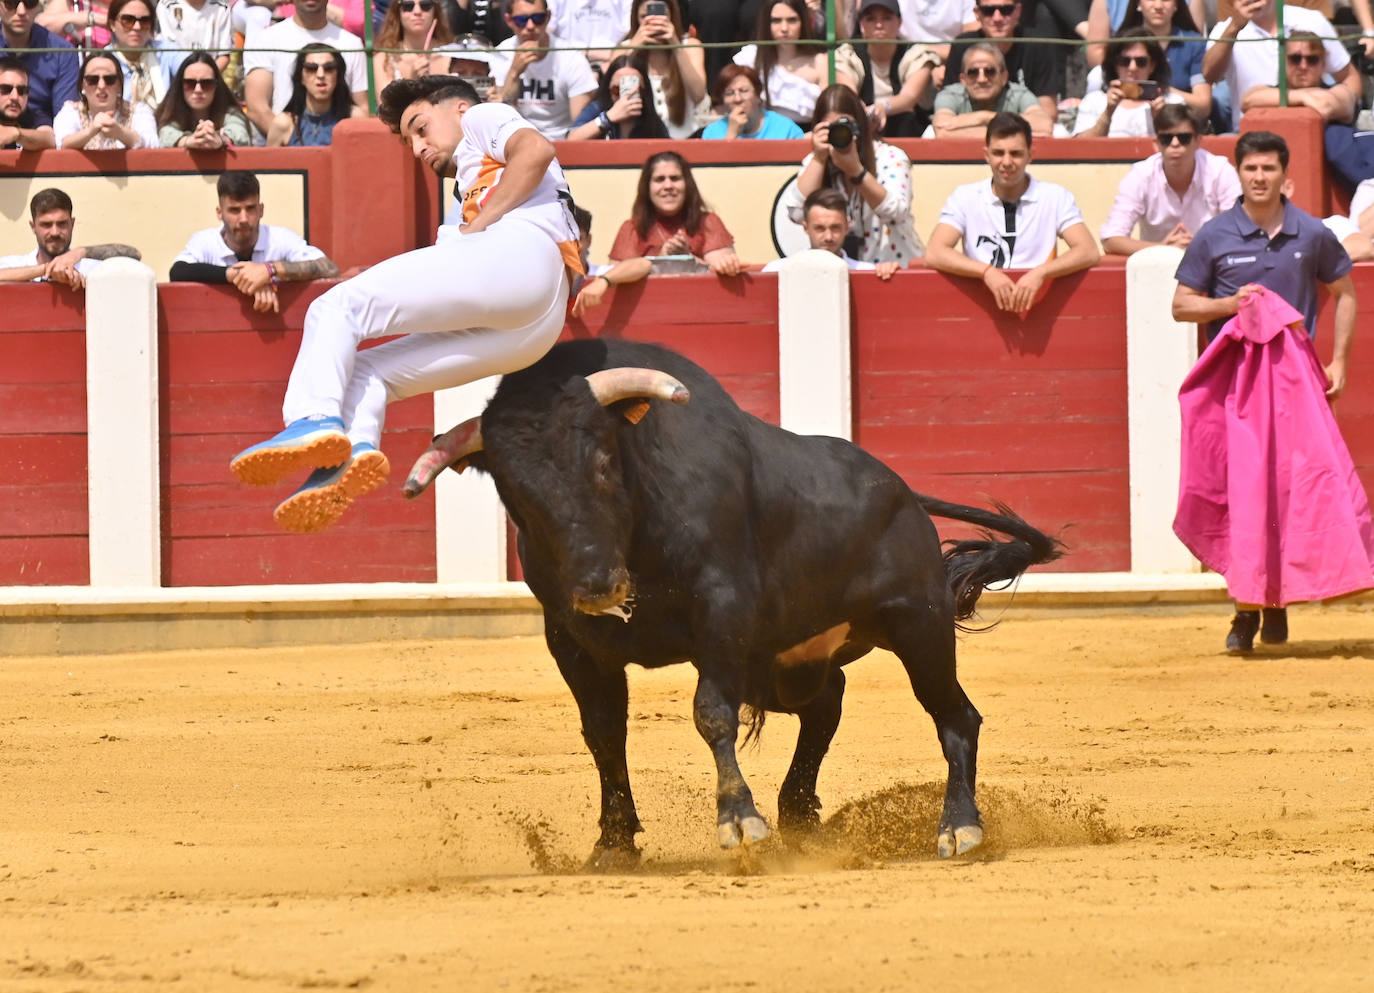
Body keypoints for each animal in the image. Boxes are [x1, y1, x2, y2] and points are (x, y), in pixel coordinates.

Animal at [401, 337, 1055, 868]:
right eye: (516, 494)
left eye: (604, 463)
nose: (596, 585)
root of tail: (905, 493)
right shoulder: (572, 641)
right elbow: (604, 734)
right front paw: (613, 843)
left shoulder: (722, 613)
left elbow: (710, 711)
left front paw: (740, 821)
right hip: (786, 661)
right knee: (827, 705)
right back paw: (799, 817)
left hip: (918, 625)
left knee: (954, 716)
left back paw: (958, 829)